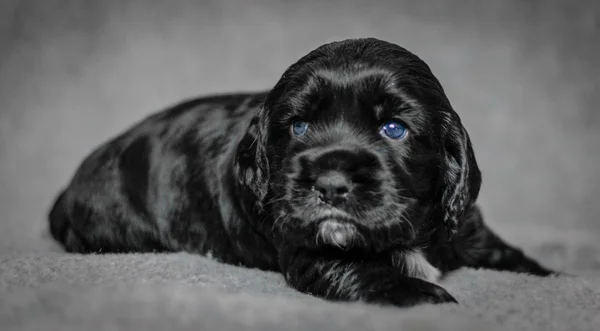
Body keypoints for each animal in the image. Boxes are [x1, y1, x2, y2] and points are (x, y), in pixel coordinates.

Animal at [49, 37, 556, 308]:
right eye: (298, 126)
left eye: (394, 128)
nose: (330, 185)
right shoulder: (308, 249)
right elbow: (368, 273)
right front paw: (430, 298)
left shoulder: (468, 229)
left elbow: (515, 259)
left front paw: (552, 275)